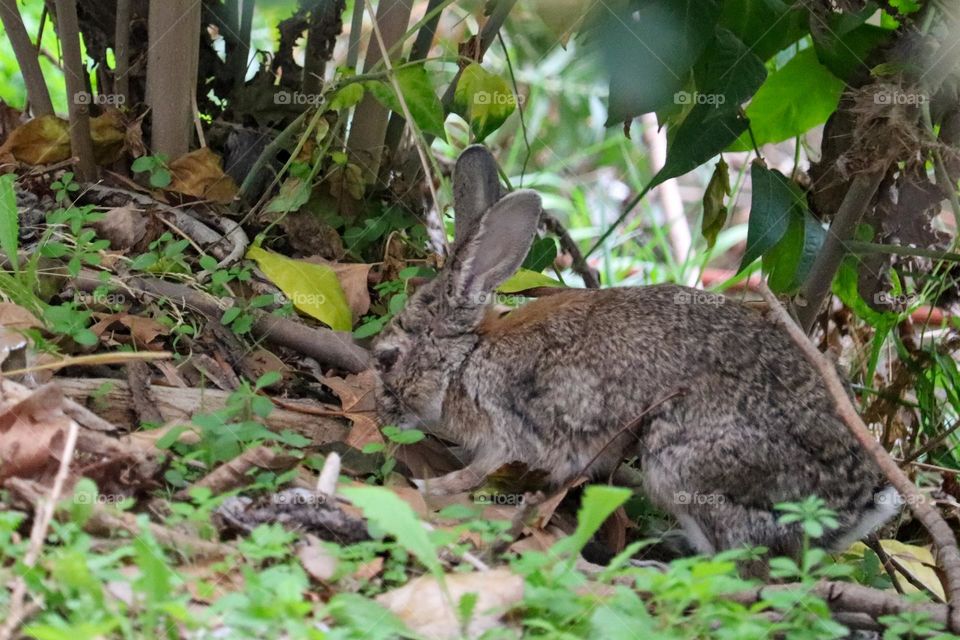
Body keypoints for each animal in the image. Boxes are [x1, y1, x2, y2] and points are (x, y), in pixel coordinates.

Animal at [372, 145, 896, 560]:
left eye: (386, 359)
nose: (380, 418)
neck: (467, 356)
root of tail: (854, 506)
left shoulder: (504, 430)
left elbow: (476, 473)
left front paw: (425, 487)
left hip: (681, 467)